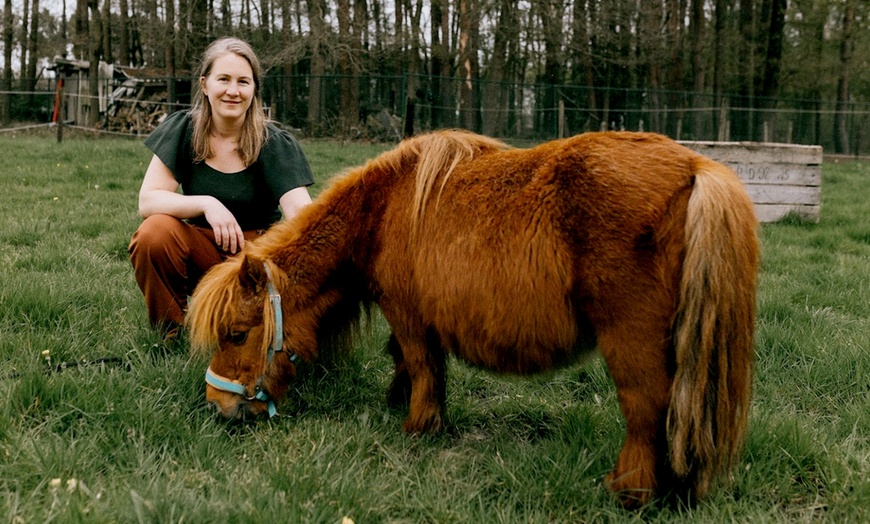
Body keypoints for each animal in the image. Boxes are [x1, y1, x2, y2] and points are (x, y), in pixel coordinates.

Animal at [187, 130, 760, 508]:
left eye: (236, 334)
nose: (217, 405)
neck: (382, 209)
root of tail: (696, 170)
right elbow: (406, 362)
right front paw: (401, 401)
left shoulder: (409, 313)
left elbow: (422, 365)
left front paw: (419, 425)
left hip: (632, 340)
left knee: (647, 410)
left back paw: (629, 492)